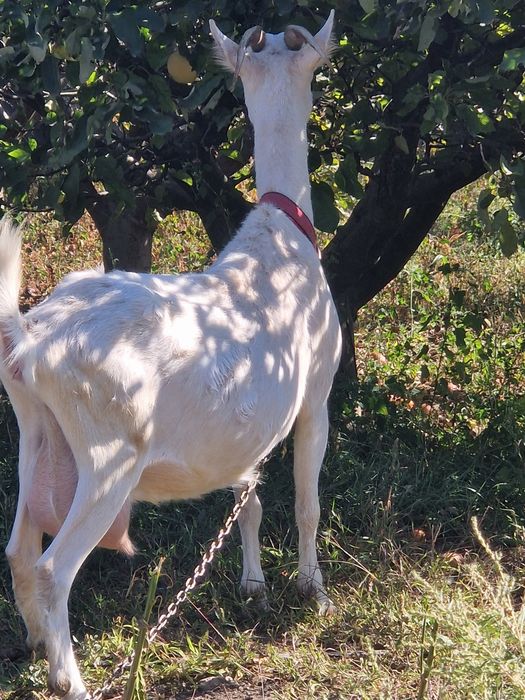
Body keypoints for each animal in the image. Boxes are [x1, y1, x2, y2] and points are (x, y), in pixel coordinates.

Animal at [1, 12, 341, 699]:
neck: (283, 240)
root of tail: (32, 339)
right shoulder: (314, 390)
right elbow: (305, 500)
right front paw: (312, 593)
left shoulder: (244, 425)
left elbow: (249, 498)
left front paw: (254, 587)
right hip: (109, 454)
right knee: (52, 567)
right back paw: (72, 681)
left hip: (36, 437)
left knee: (19, 552)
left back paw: (36, 648)